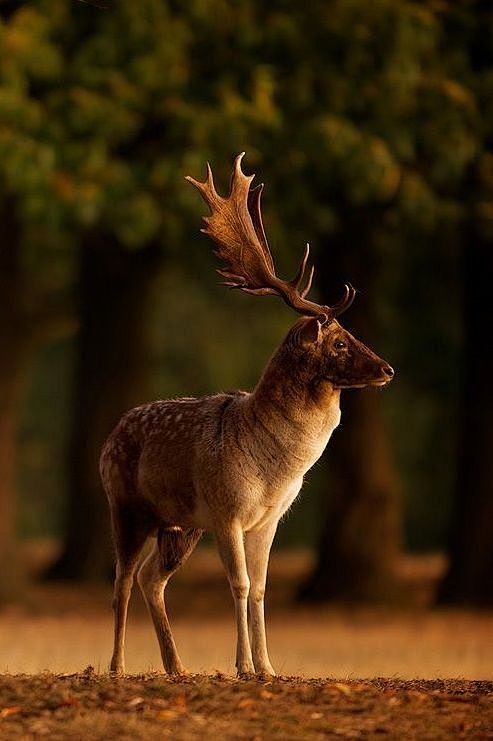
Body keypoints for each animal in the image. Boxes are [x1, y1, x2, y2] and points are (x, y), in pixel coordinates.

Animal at [99, 153, 392, 680]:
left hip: (180, 524)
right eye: (340, 342)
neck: (276, 470)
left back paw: (177, 666)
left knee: (152, 579)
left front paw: (268, 667)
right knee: (122, 583)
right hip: (126, 506)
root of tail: (109, 437)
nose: (387, 369)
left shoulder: (267, 520)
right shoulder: (228, 510)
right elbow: (237, 586)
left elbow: (259, 590)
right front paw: (242, 665)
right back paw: (117, 666)